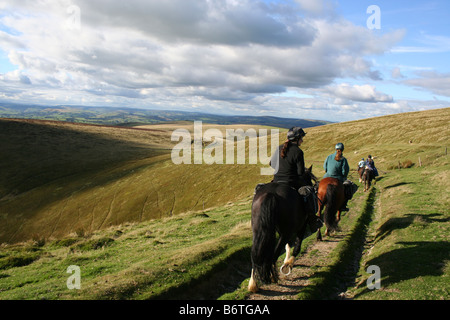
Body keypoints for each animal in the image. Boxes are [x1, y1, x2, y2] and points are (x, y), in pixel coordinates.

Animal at [248, 166, 318, 294]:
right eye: (310, 179)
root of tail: (270, 194)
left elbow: (288, 245)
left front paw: (286, 261)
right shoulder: (302, 225)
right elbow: (297, 246)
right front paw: (288, 264)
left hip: (259, 230)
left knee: (256, 254)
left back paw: (253, 283)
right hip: (286, 232)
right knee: (273, 255)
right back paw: (272, 276)